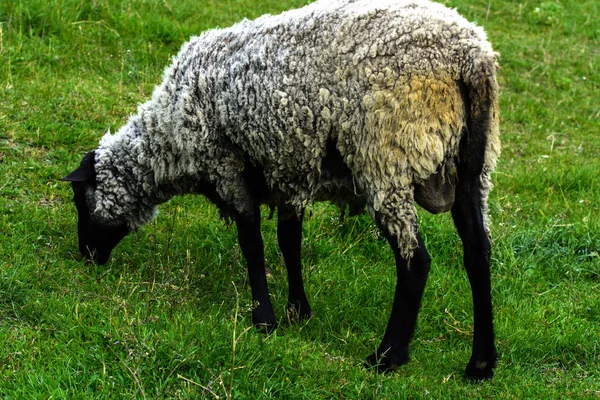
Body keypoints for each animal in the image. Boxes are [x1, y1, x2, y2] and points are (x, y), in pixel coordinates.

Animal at [62, 0, 502, 380]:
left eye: (78, 201)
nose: (87, 256)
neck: (169, 143)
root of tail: (471, 58)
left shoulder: (227, 164)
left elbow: (252, 242)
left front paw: (264, 320)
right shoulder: (290, 168)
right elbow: (289, 242)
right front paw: (298, 311)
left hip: (386, 155)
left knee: (415, 262)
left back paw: (387, 356)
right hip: (472, 166)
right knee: (478, 252)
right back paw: (480, 364)